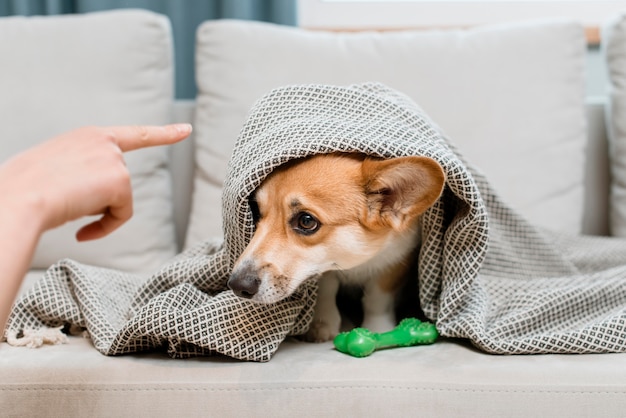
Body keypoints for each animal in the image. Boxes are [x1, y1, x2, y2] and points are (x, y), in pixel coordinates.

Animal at [228, 152, 444, 342]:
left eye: (306, 221)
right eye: (255, 212)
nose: (237, 285)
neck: (356, 262)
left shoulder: (395, 261)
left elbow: (377, 299)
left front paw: (378, 329)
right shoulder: (324, 270)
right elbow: (327, 289)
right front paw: (322, 325)